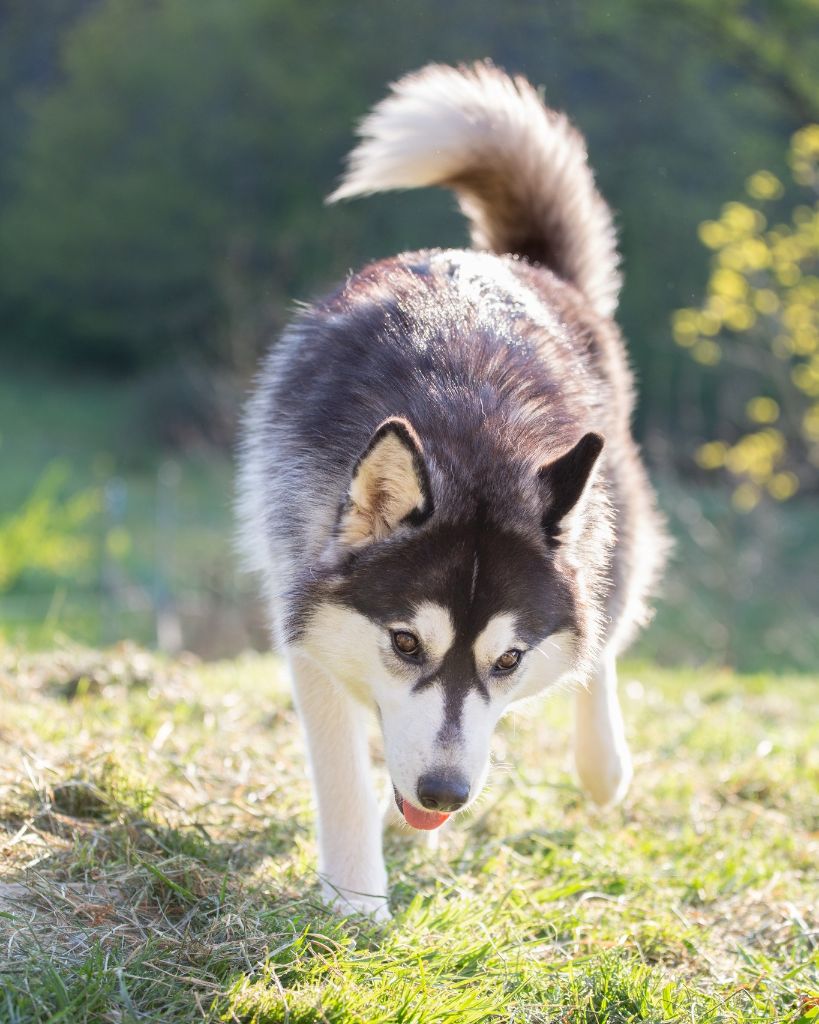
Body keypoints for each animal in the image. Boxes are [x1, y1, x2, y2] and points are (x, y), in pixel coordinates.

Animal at [235, 61, 663, 921]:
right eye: (405, 643)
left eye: (508, 660)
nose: (444, 792)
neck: (468, 441)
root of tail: (526, 266)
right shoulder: (304, 616)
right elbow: (342, 778)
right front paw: (355, 902)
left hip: (614, 525)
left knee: (601, 635)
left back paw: (603, 764)